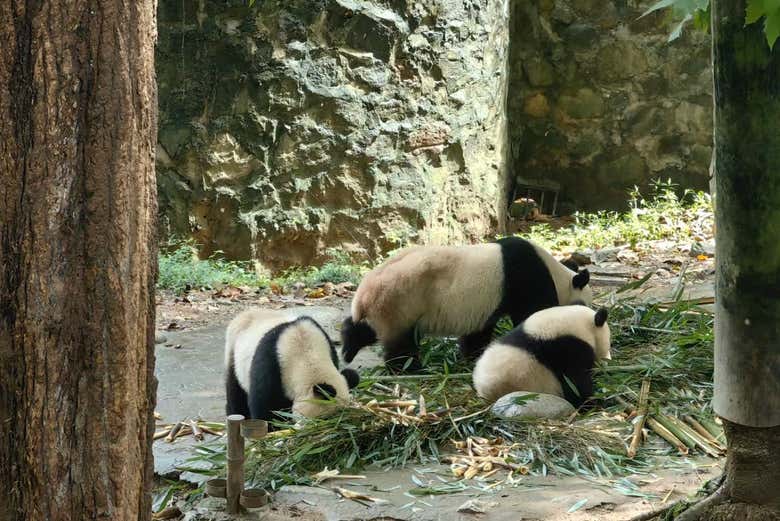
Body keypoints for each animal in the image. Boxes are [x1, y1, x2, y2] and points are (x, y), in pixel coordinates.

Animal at [225, 308, 360, 422]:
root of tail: (243, 314)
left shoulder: (328, 346)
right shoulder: (270, 362)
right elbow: (265, 405)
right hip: (234, 352)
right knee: (236, 392)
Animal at [341, 236, 593, 370]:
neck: (556, 273)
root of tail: (364, 293)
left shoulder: (486, 305)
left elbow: (479, 331)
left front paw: (473, 356)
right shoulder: (526, 278)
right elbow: (533, 314)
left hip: (386, 308)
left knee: (365, 328)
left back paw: (348, 349)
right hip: (400, 301)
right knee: (401, 344)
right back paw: (408, 369)